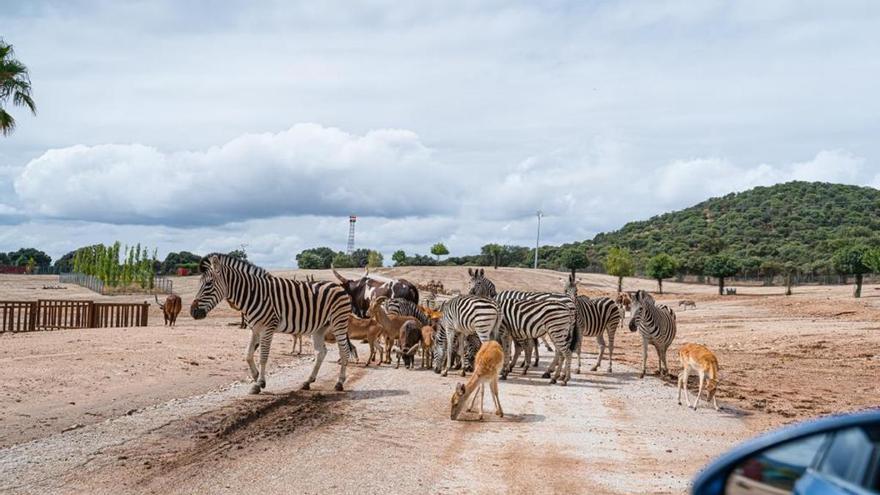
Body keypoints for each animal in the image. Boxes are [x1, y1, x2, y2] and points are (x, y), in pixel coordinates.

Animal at [190, 256, 354, 396]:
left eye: (209, 284)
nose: (193, 312)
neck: (253, 295)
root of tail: (337, 286)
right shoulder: (255, 328)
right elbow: (248, 354)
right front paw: (256, 376)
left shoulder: (268, 328)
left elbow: (263, 357)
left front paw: (259, 384)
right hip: (320, 328)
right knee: (321, 352)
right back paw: (308, 382)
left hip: (338, 323)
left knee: (344, 350)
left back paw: (339, 383)